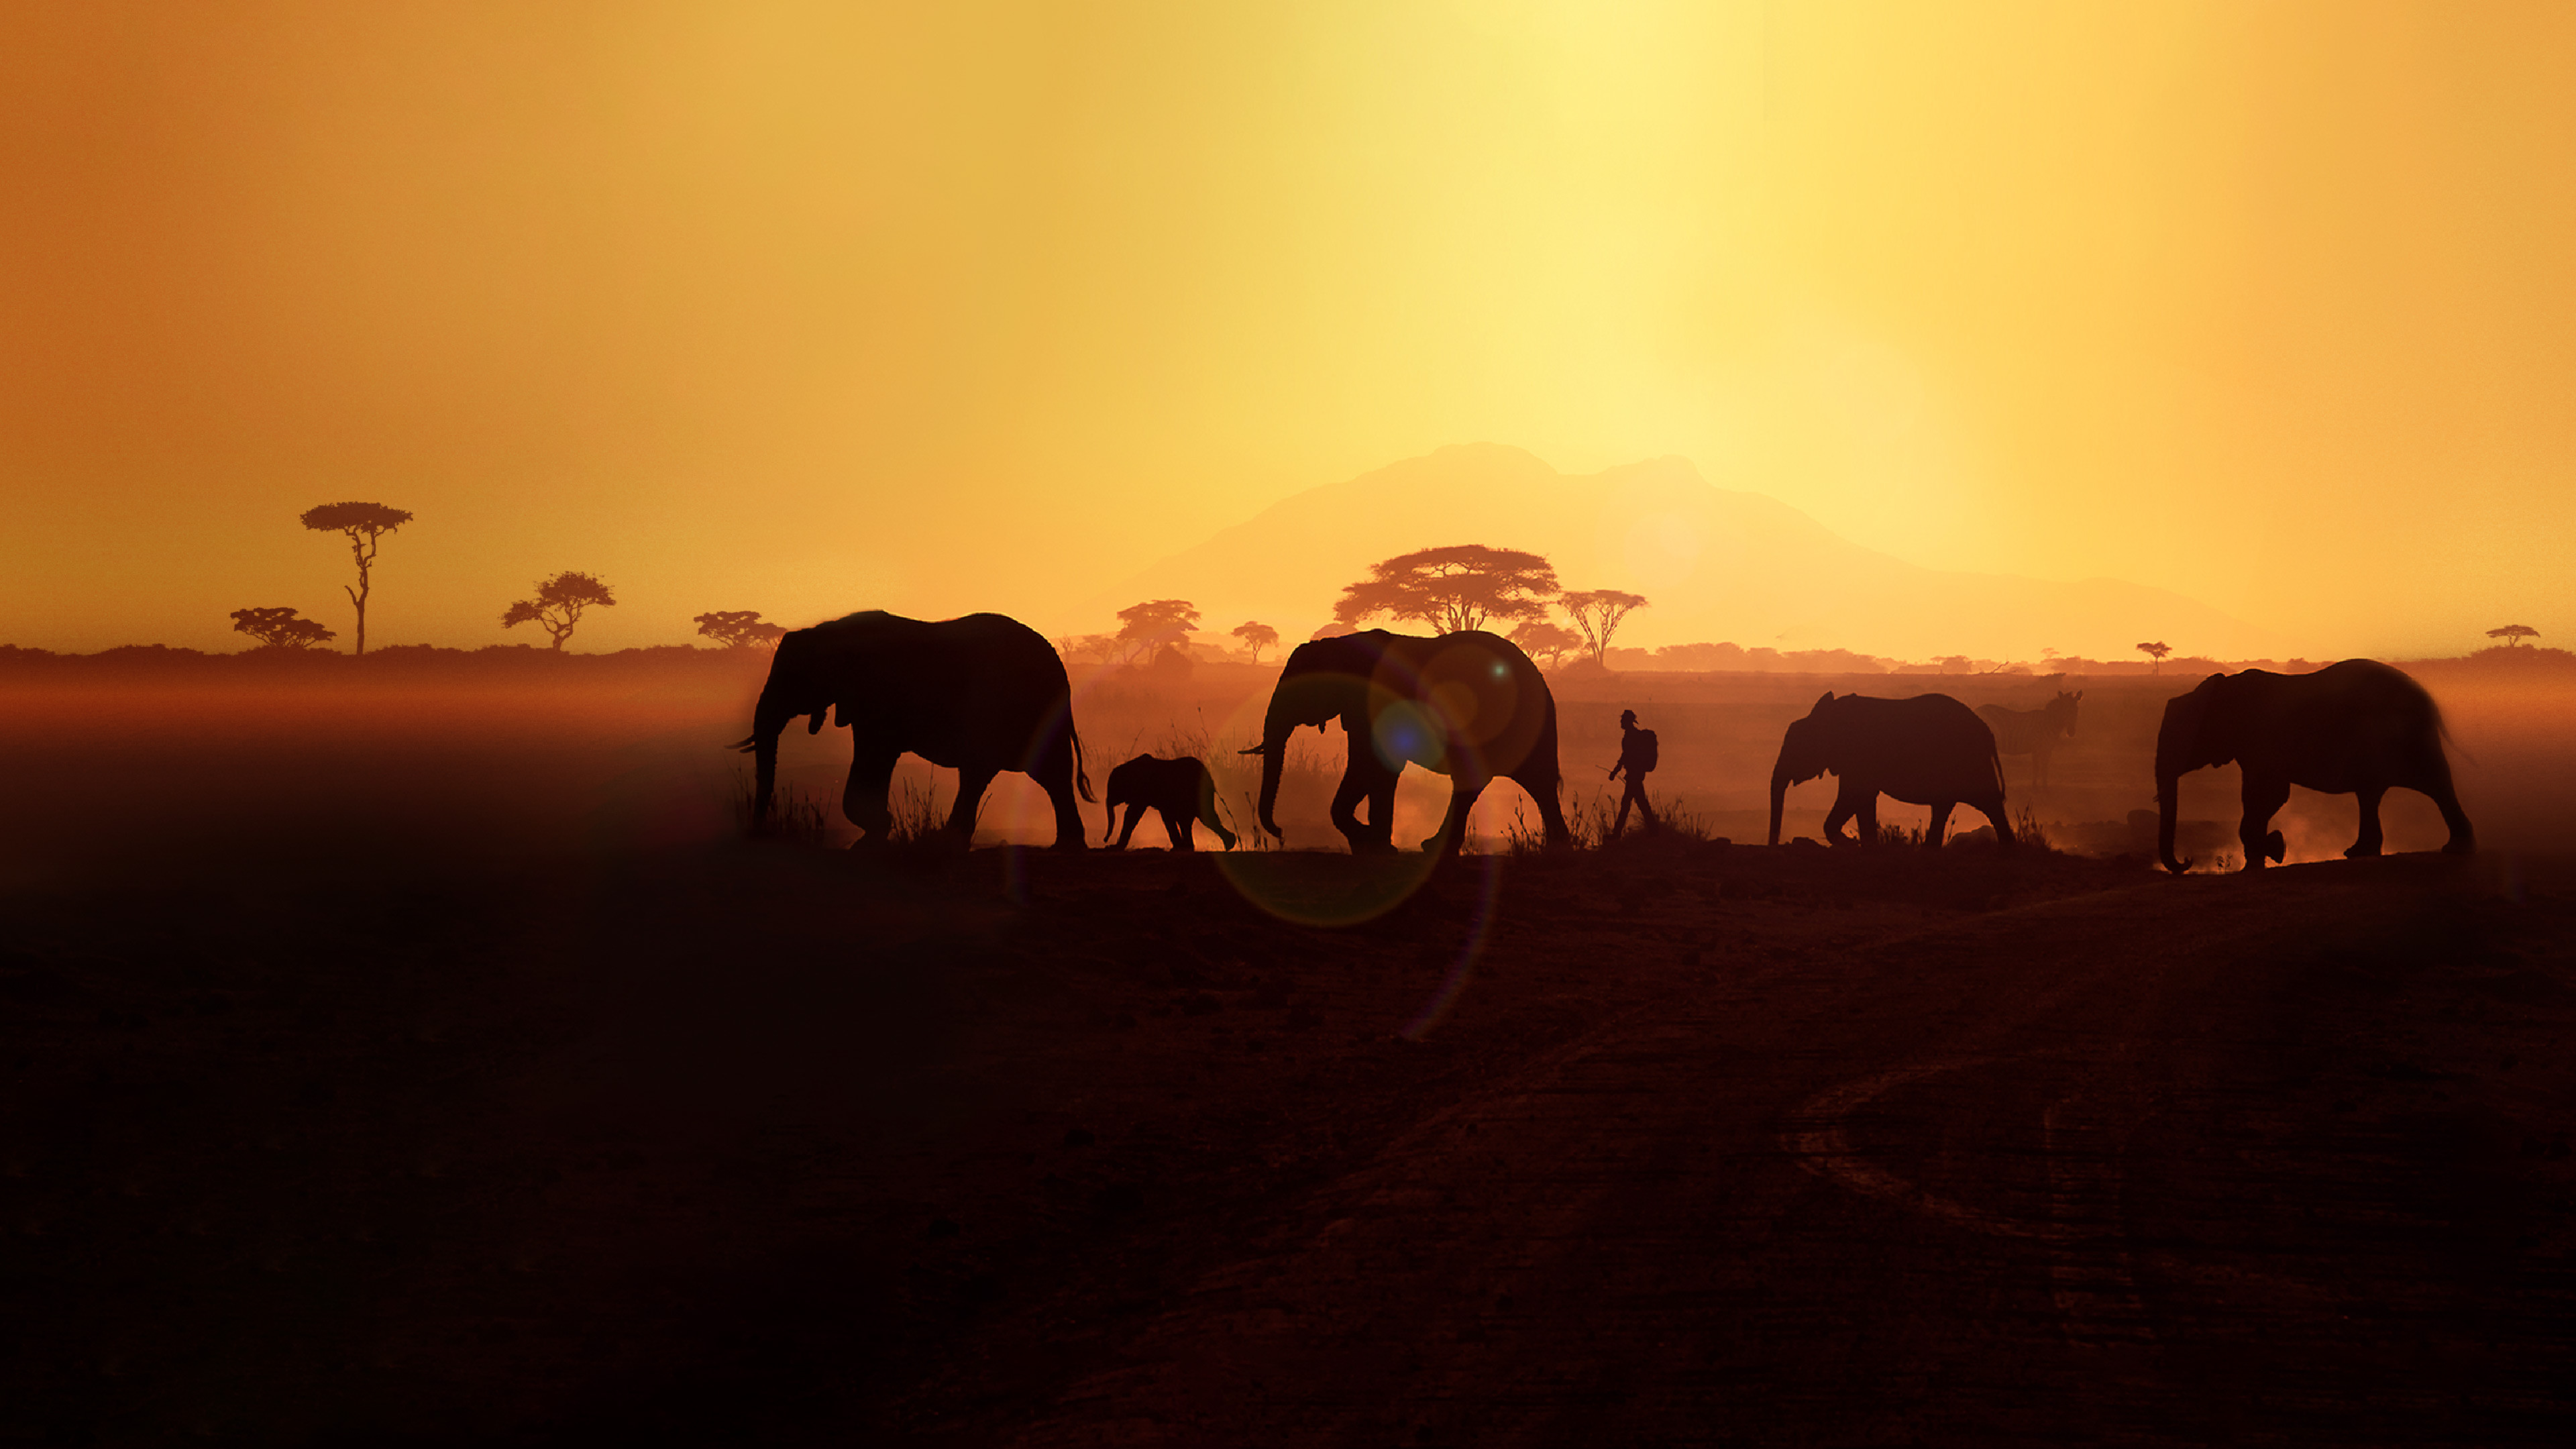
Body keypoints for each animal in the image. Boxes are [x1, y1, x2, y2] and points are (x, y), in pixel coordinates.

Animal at [732, 610, 1093, 848]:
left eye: (792, 679)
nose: (760, 832)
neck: (829, 632)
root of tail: (1061, 670)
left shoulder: (879, 698)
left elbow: (875, 756)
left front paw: (876, 833)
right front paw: (875, 833)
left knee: (1021, 771)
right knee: (1017, 773)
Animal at [1104, 754, 1237, 851]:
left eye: (1113, 789)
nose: (1105, 841)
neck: (1128, 767)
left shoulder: (1143, 790)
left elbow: (1133, 814)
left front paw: (1114, 848)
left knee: (1199, 818)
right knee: (1191, 820)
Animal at [1246, 629, 1573, 855]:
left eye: (1299, 690)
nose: (1280, 832)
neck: (1339, 644)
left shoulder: (1377, 701)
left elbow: (1372, 766)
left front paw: (1373, 842)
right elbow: (1373, 769)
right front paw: (1372, 846)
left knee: (1529, 780)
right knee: (1509, 782)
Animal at [1767, 691, 2013, 849]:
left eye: (1796, 747)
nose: (1774, 846)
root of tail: (1988, 732)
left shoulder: (1857, 756)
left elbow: (1855, 795)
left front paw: (1854, 844)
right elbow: (1864, 800)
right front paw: (1867, 846)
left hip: (1970, 761)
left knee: (1987, 802)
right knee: (1950, 805)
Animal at [2154, 659, 2473, 873]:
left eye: (2179, 738)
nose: (2188, 860)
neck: (2222, 689)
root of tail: (2428, 699)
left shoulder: (2262, 739)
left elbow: (2269, 795)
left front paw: (2273, 850)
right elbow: (2262, 797)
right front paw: (2266, 854)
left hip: (2406, 737)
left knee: (2435, 784)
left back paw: (2456, 848)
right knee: (2373, 794)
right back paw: (2359, 853)